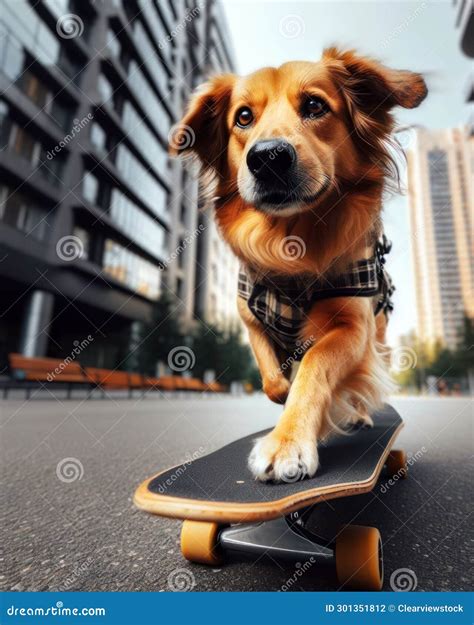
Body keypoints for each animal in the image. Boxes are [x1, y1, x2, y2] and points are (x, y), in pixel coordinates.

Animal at [169, 48, 426, 482]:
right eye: (243, 117)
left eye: (314, 105)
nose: (267, 157)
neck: (290, 244)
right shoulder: (250, 315)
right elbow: (273, 377)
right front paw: (284, 394)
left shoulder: (352, 328)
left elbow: (314, 365)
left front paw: (288, 442)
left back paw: (357, 415)